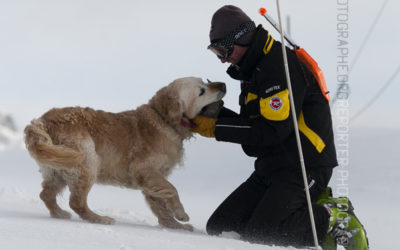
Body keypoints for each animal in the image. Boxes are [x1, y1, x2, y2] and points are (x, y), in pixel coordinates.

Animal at [24, 77, 225, 231]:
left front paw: (174, 226)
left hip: (58, 168)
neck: (165, 120)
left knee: (46, 195)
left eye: (205, 80)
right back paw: (100, 219)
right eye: (202, 90)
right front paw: (181, 214)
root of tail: (43, 121)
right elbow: (172, 189)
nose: (223, 85)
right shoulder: (144, 170)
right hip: (87, 161)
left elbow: (160, 206)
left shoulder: (153, 178)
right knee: (76, 202)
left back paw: (59, 214)